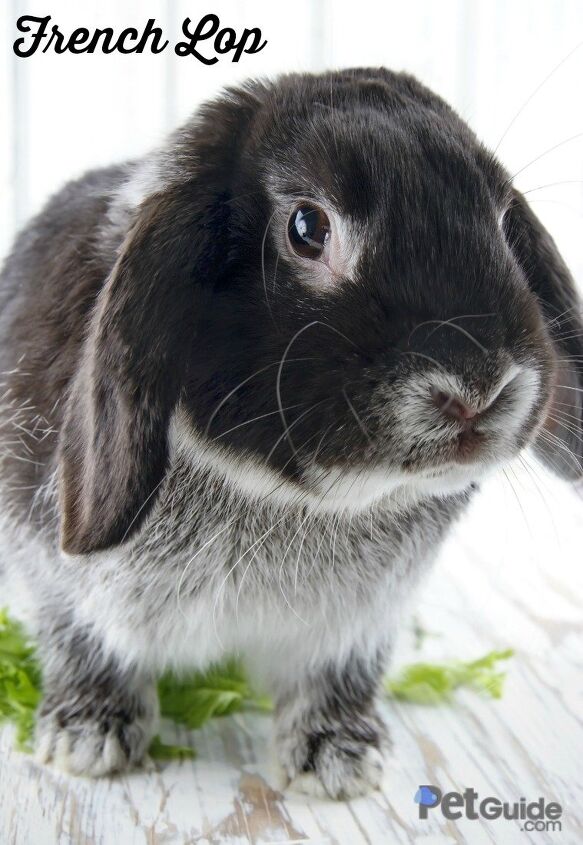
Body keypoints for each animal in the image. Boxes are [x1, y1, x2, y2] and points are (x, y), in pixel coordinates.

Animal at [0, 67, 581, 799]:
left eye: (504, 221)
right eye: (307, 228)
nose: (479, 388)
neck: (292, 501)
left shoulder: (359, 625)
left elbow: (335, 680)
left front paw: (341, 760)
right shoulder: (54, 577)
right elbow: (82, 644)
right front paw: (86, 737)